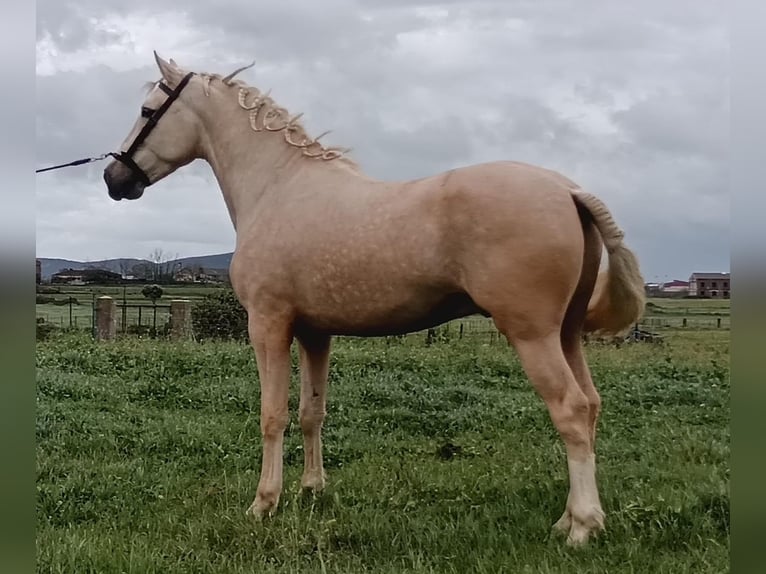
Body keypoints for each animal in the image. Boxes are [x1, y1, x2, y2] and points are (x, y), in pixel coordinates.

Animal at [103, 51, 648, 548]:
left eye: (149, 111)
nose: (114, 180)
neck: (279, 188)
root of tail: (568, 190)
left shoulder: (268, 326)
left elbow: (272, 415)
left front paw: (264, 503)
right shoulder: (315, 333)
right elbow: (312, 412)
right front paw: (311, 489)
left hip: (532, 334)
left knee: (570, 411)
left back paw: (582, 527)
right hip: (566, 334)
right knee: (591, 406)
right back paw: (569, 519)